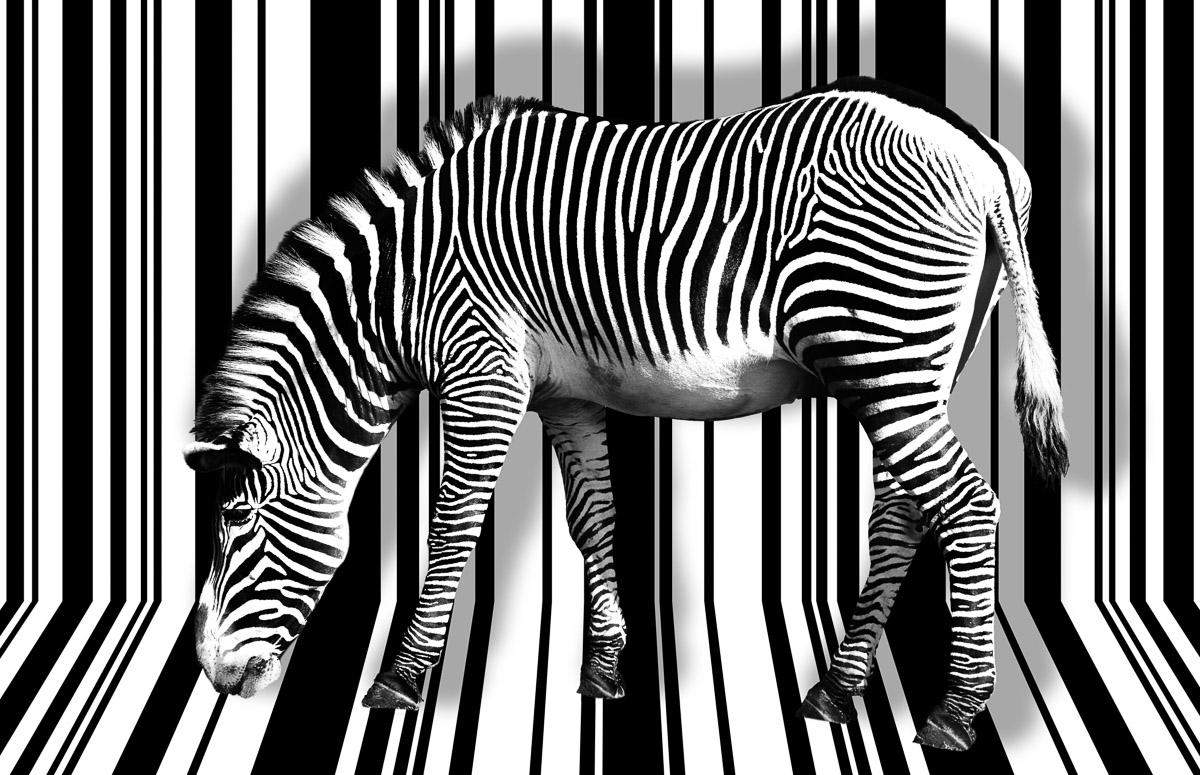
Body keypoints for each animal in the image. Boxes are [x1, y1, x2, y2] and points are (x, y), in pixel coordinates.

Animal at [184, 75, 1066, 752]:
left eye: (234, 523)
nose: (210, 673)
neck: (401, 283)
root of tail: (979, 149)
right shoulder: (565, 393)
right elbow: (594, 519)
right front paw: (604, 669)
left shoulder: (483, 370)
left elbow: (451, 526)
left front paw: (400, 677)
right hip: (912, 364)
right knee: (904, 513)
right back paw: (837, 689)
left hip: (877, 347)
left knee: (968, 506)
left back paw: (955, 710)